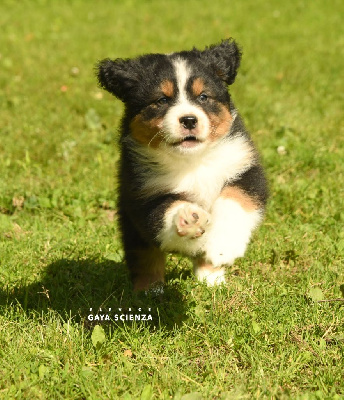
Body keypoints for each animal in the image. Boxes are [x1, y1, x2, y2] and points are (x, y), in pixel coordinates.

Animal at [97, 39, 268, 290]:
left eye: (203, 97)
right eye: (162, 100)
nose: (188, 120)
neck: (193, 161)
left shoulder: (245, 169)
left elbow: (235, 201)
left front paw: (222, 247)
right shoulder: (142, 193)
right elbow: (164, 213)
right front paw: (188, 218)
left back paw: (211, 278)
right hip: (130, 224)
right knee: (143, 256)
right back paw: (150, 289)